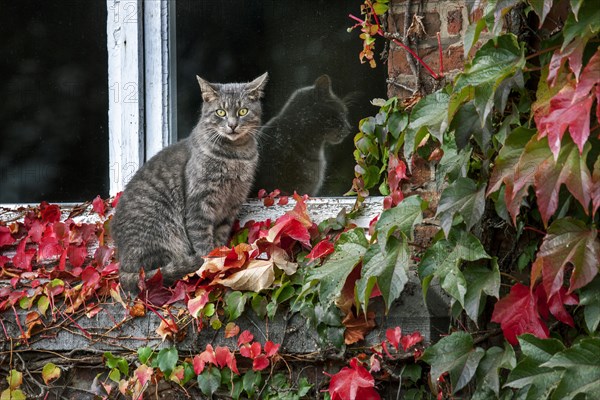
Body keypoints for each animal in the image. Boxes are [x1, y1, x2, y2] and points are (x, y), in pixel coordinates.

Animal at [110, 72, 270, 294]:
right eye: (221, 112)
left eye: (242, 111)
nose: (232, 125)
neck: (235, 156)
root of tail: (122, 265)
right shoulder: (199, 204)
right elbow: (203, 243)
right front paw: (212, 264)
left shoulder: (231, 206)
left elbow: (220, 237)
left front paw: (223, 259)